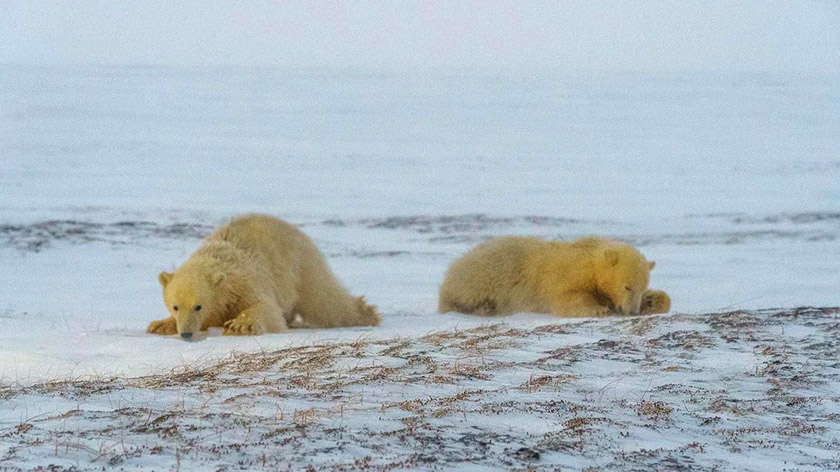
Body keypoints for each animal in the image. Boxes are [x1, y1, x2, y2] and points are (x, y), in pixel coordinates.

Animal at [148, 214, 380, 340]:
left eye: (198, 306)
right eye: (175, 306)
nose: (186, 334)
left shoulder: (246, 281)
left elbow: (266, 308)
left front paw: (241, 325)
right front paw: (160, 325)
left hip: (300, 266)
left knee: (324, 300)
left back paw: (368, 313)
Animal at [436, 236, 660, 318]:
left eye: (641, 288)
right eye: (627, 286)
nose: (632, 312)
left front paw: (654, 301)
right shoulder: (564, 274)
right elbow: (566, 299)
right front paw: (598, 308)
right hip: (483, 275)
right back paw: (481, 307)